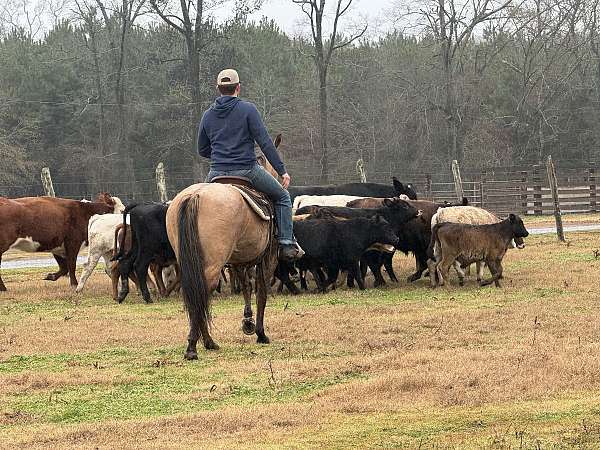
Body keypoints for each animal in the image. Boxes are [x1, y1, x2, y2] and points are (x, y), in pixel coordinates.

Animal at [165, 135, 284, 360]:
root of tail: (196, 195)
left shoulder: (238, 261)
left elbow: (246, 287)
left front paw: (248, 322)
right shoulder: (267, 259)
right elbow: (261, 293)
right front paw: (260, 333)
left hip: (190, 261)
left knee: (195, 294)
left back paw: (206, 342)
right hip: (213, 264)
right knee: (202, 293)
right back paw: (195, 346)